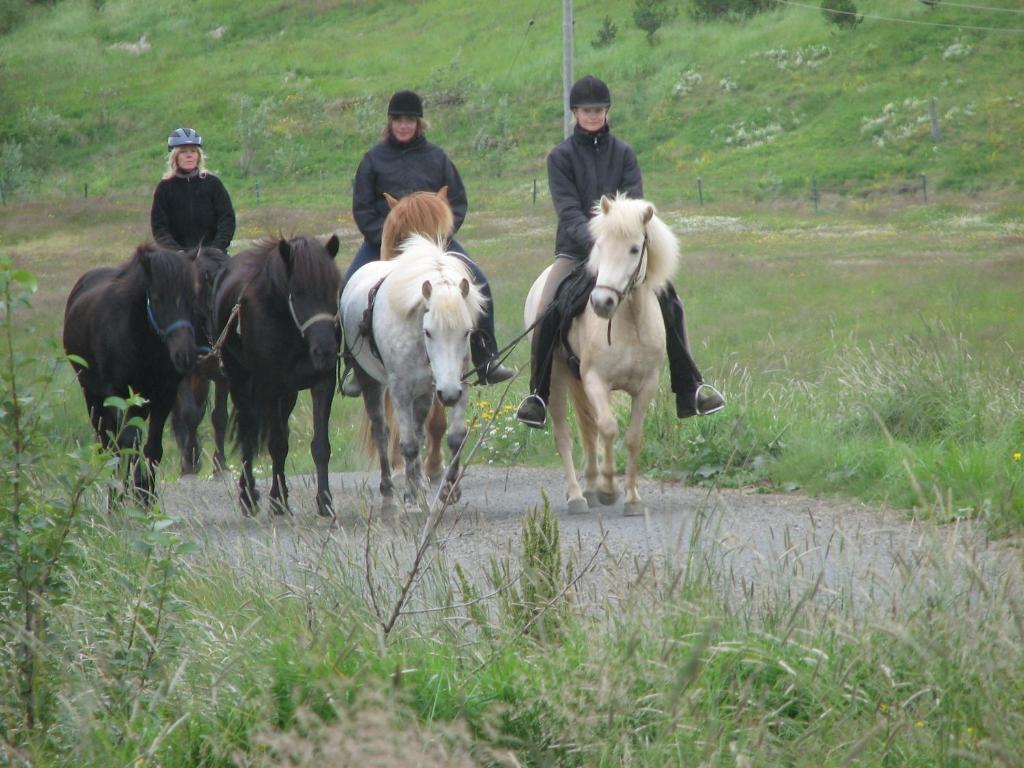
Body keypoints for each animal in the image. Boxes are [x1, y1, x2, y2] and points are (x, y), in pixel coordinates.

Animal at [65, 244, 200, 499]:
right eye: (157, 298)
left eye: (192, 297)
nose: (185, 355)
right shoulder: (116, 394)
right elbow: (126, 444)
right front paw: (123, 496)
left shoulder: (163, 397)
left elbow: (152, 448)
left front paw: (146, 496)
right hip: (93, 396)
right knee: (109, 444)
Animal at [214, 237, 342, 520]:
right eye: (300, 292)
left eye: (334, 289)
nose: (326, 350)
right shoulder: (270, 386)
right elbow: (277, 445)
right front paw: (275, 499)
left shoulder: (322, 381)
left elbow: (320, 446)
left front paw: (325, 500)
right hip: (239, 379)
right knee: (248, 431)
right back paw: (249, 495)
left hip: (289, 393)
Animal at [339, 237, 483, 507]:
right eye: (428, 331)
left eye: (467, 331)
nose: (448, 394)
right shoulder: (400, 390)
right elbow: (407, 445)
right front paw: (413, 494)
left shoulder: (457, 384)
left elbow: (455, 437)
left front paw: (449, 489)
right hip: (371, 382)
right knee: (382, 432)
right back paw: (389, 486)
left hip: (425, 392)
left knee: (418, 432)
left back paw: (418, 482)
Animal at [528, 193, 679, 518]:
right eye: (599, 245)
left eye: (634, 249)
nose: (601, 302)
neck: (630, 322)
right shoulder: (596, 380)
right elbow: (608, 428)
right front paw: (609, 489)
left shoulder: (646, 386)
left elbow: (633, 438)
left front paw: (632, 499)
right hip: (557, 378)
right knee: (564, 435)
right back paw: (577, 497)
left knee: (588, 431)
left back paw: (589, 488)